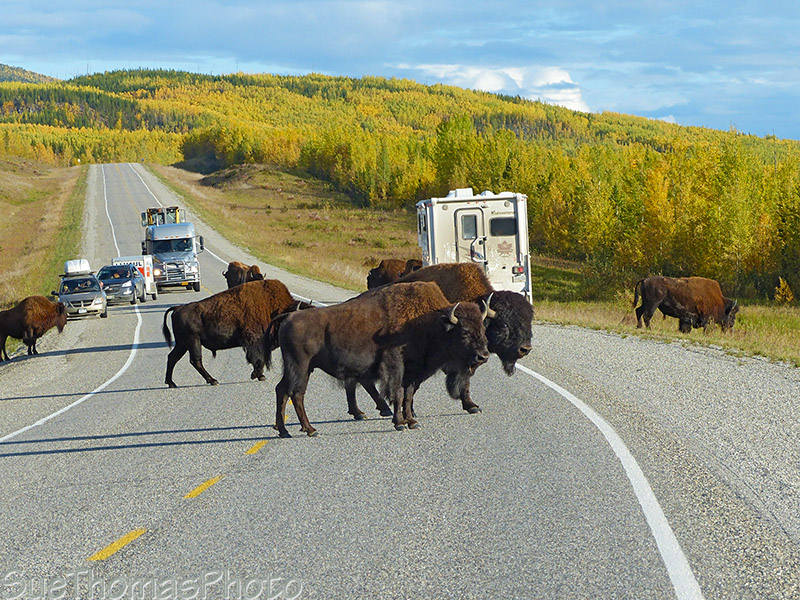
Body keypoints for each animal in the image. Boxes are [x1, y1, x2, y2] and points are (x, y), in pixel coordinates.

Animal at [162, 279, 303, 387]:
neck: (277, 310)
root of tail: (178, 308)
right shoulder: (254, 340)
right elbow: (257, 358)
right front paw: (259, 375)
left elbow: (258, 358)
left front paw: (258, 375)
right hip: (193, 342)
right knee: (195, 360)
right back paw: (213, 380)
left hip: (182, 344)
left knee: (172, 357)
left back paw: (171, 383)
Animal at [275, 281, 490, 437]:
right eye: (464, 332)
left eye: (482, 328)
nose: (483, 356)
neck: (429, 322)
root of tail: (288, 320)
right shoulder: (395, 367)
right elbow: (398, 394)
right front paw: (400, 423)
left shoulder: (412, 373)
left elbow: (408, 395)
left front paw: (412, 422)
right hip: (301, 367)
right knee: (297, 393)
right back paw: (311, 430)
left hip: (296, 368)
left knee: (282, 390)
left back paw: (284, 431)